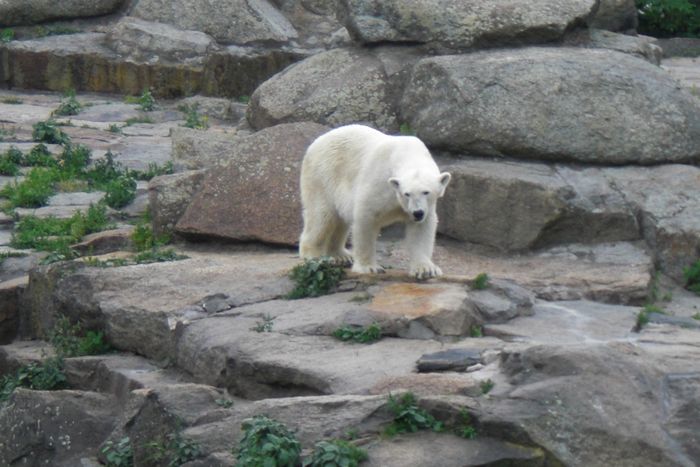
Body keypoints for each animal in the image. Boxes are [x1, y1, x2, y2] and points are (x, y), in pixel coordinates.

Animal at [298, 123, 452, 282]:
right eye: (407, 194)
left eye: (426, 192)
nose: (417, 213)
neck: (407, 154)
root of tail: (315, 143)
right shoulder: (378, 183)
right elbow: (366, 217)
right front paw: (369, 267)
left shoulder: (426, 207)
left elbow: (421, 229)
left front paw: (426, 269)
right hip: (322, 175)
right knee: (322, 216)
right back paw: (314, 256)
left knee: (339, 220)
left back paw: (341, 256)